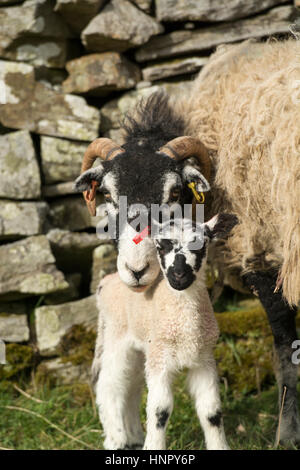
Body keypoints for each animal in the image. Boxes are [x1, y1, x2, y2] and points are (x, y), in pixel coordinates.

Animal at [91, 214, 237, 452]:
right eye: (161, 246)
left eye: (200, 245)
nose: (179, 275)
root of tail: (106, 282)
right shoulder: (161, 359)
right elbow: (160, 411)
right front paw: (153, 446)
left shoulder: (204, 359)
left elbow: (212, 411)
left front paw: (220, 447)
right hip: (117, 336)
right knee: (110, 385)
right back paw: (116, 440)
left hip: (141, 349)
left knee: (131, 388)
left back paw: (134, 437)